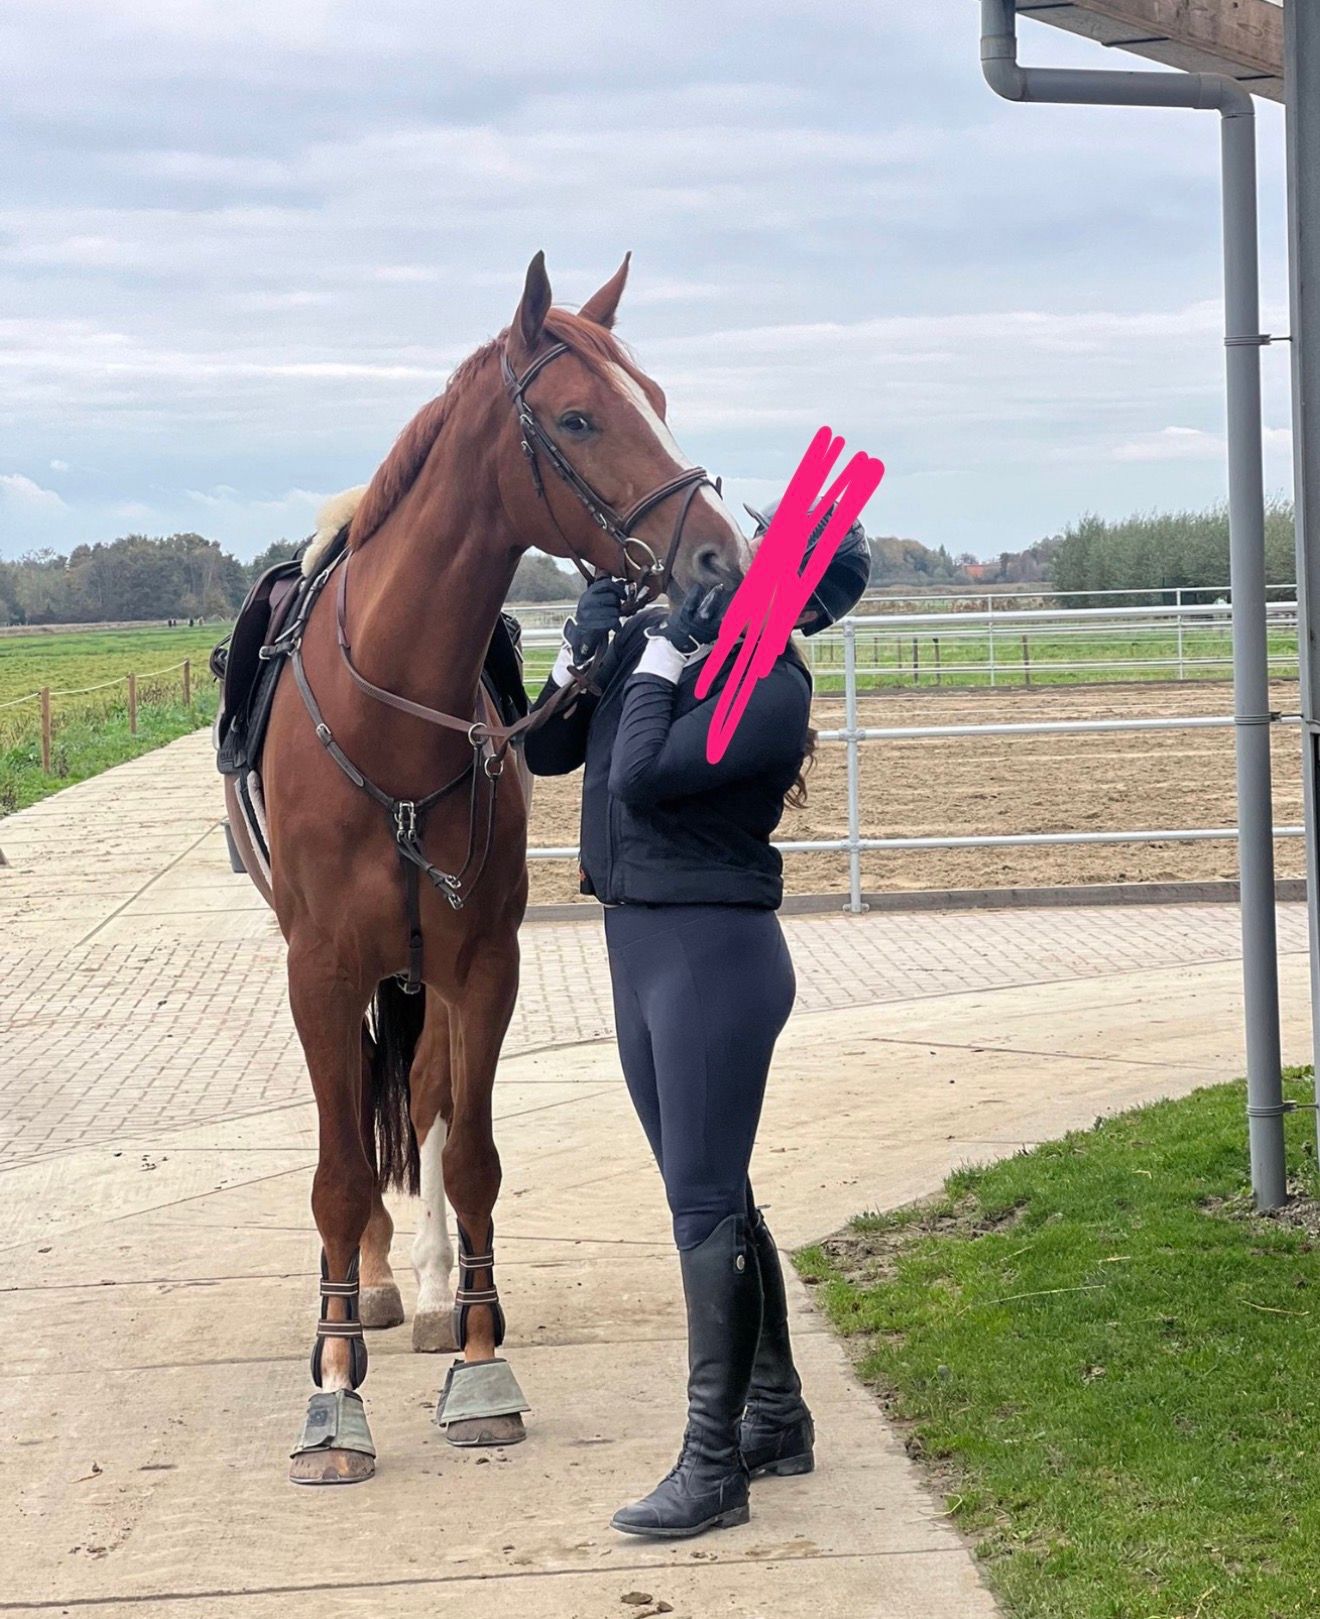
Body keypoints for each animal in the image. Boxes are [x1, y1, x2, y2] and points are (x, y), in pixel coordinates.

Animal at [222, 252, 750, 1482]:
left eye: (657, 398)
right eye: (579, 416)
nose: (719, 557)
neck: (389, 717)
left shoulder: (481, 965)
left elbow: (469, 1159)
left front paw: (478, 1361)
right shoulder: (319, 970)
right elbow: (336, 1173)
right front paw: (333, 1391)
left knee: (416, 1098)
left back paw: (423, 1290)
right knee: (360, 1124)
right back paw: (369, 1287)